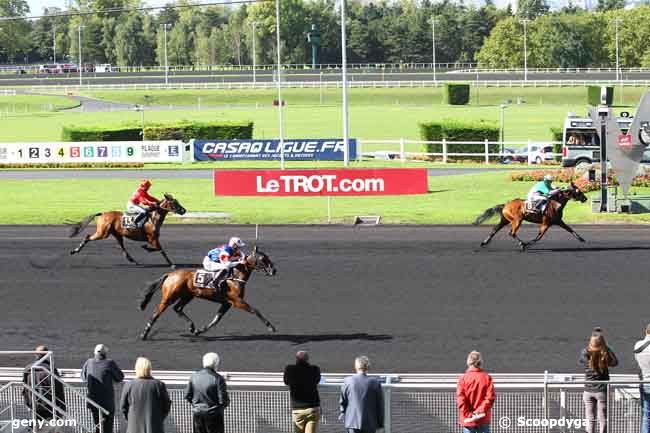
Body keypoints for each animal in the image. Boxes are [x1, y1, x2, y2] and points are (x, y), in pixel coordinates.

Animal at [137, 245, 276, 340]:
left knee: (177, 308)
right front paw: (270, 326)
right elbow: (255, 310)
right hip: (169, 297)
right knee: (156, 313)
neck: (235, 277)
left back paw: (192, 327)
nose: (274, 270)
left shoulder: (226, 303)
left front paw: (200, 330)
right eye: (263, 258)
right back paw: (144, 334)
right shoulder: (237, 301)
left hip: (188, 296)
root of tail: (170, 275)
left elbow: (215, 320)